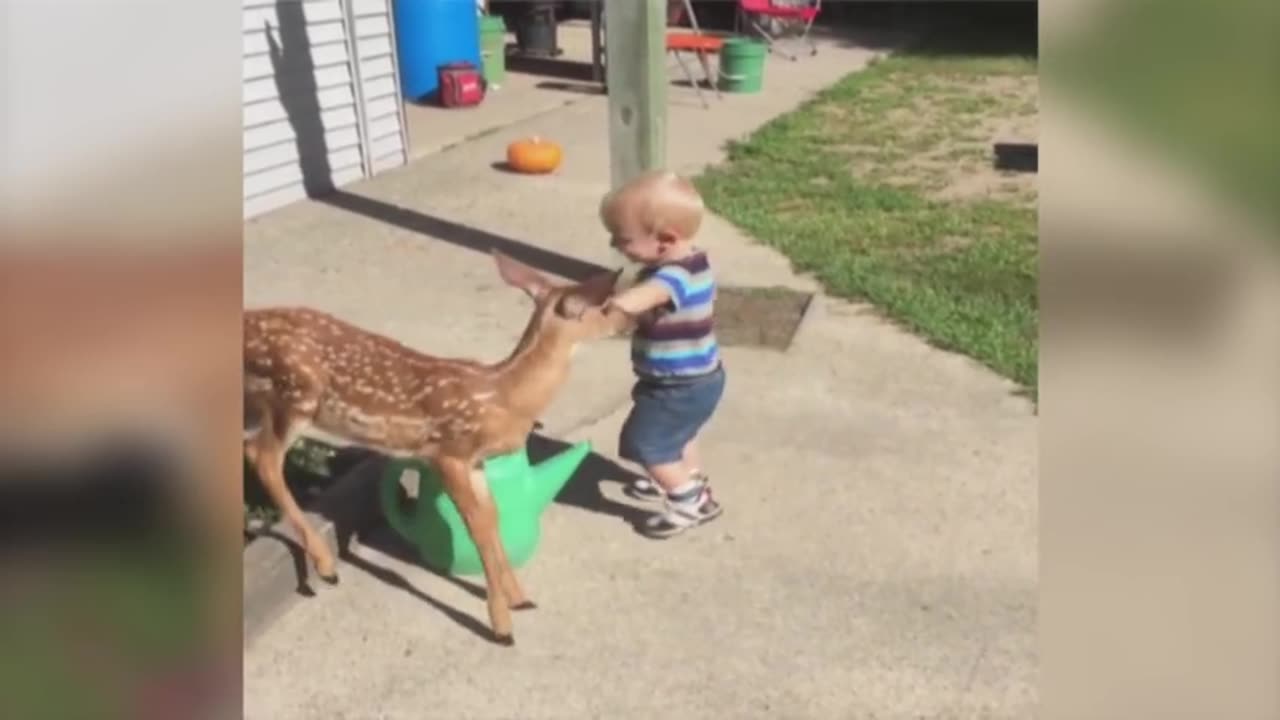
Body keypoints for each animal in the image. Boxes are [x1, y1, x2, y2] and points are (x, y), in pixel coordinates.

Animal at [244, 249, 624, 640]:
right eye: (606, 306)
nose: (632, 320)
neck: (504, 396)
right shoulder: (449, 453)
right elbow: (476, 526)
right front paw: (501, 624)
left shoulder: (476, 462)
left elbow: (492, 518)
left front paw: (519, 598)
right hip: (296, 397)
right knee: (263, 456)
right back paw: (325, 565)